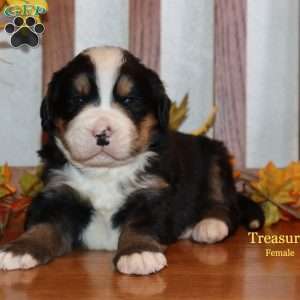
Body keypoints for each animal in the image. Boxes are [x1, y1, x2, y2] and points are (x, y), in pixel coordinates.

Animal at [0, 46, 262, 274]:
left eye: (129, 101)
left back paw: (208, 225)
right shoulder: (59, 192)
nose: (102, 132)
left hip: (215, 156)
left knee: (225, 203)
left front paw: (138, 253)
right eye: (77, 100)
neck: (104, 172)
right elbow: (43, 226)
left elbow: (139, 225)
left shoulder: (153, 194)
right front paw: (20, 249)